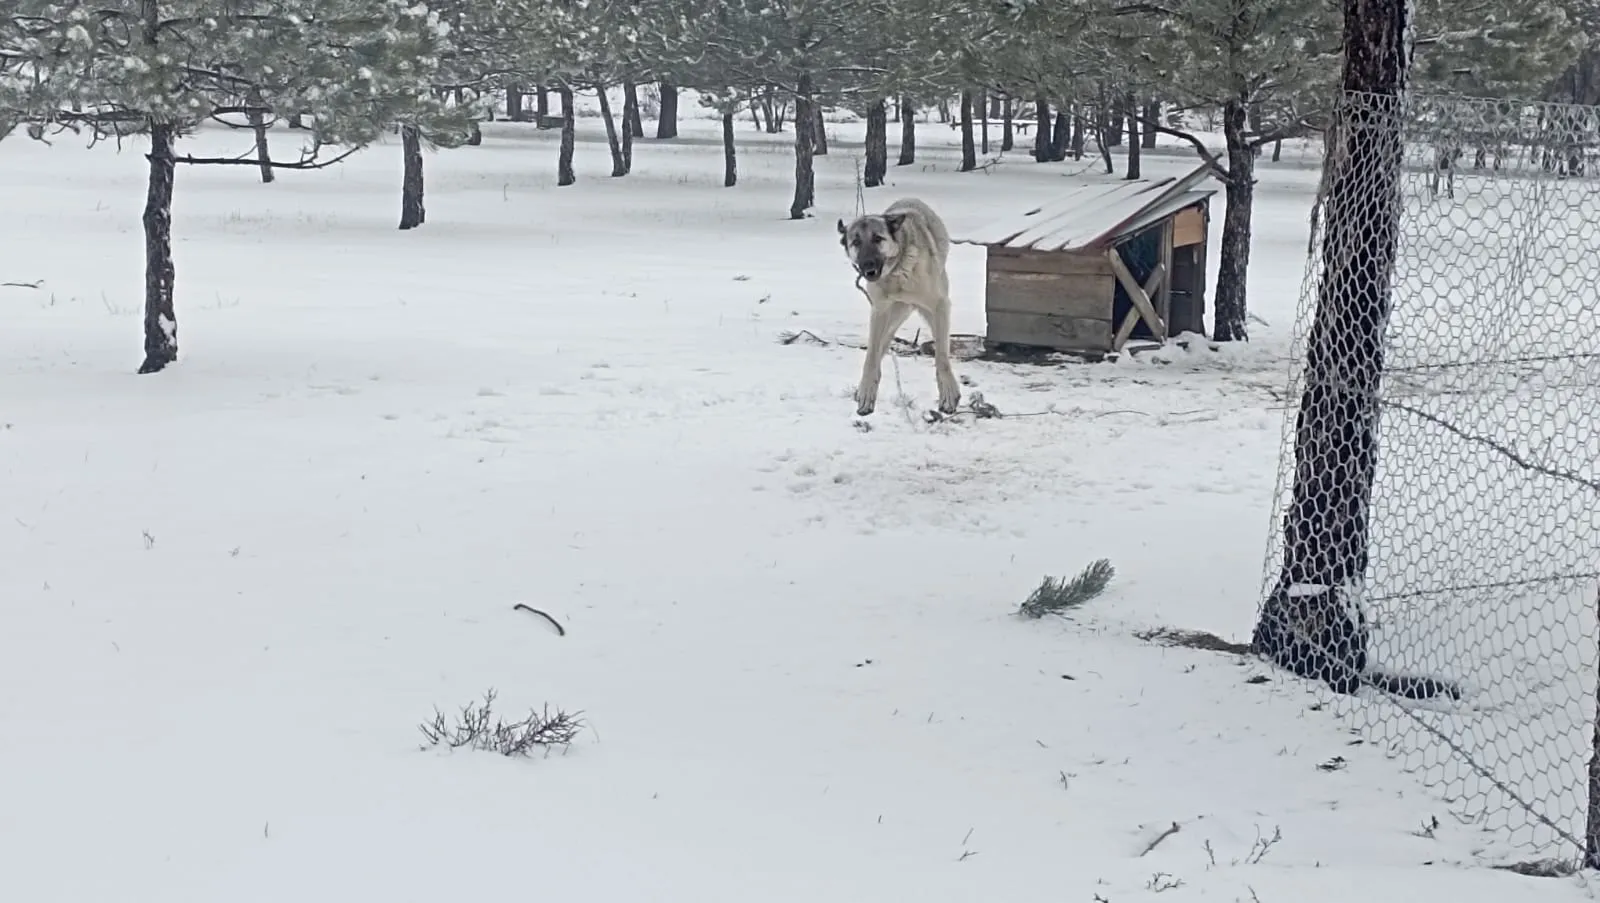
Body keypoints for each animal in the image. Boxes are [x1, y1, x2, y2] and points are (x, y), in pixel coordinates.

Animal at [838, 197, 960, 416]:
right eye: (856, 242)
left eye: (878, 239)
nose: (868, 265)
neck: (897, 271)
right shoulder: (879, 311)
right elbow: (871, 357)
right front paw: (866, 391)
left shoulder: (940, 306)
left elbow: (942, 357)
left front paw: (948, 393)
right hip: (893, 317)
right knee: (880, 347)